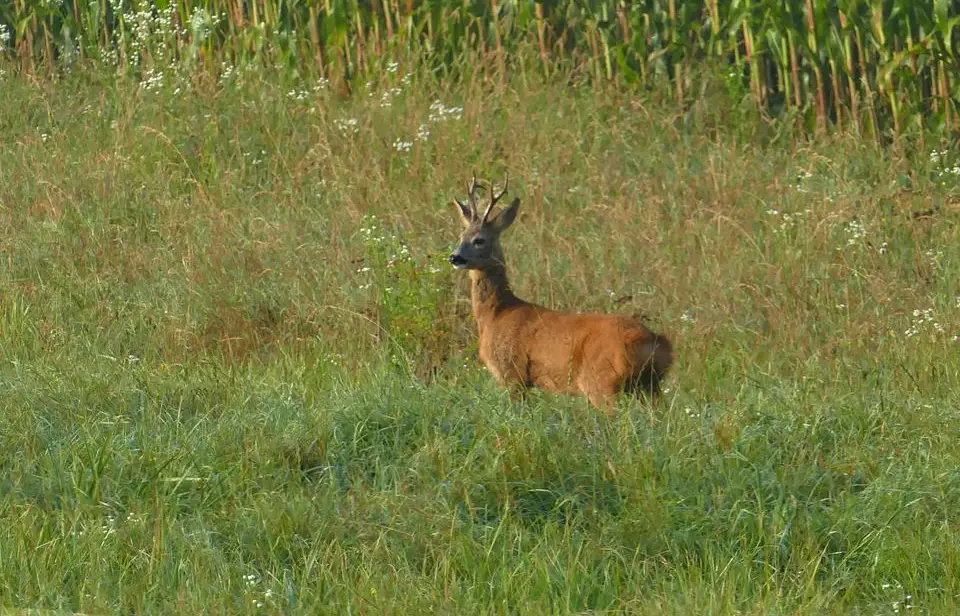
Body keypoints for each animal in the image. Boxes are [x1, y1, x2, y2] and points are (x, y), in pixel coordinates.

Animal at [446, 173, 672, 414]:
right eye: (461, 235)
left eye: (479, 239)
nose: (455, 257)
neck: (496, 313)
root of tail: (654, 341)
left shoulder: (511, 372)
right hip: (650, 385)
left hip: (603, 381)